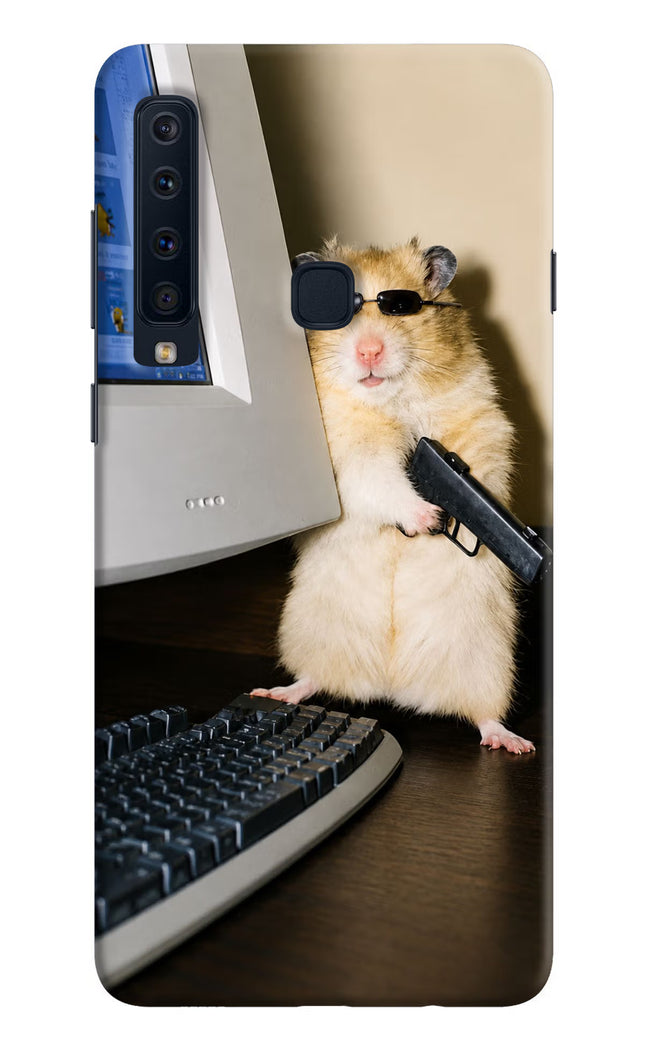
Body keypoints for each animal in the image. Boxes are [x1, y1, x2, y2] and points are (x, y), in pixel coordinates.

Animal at [252, 237, 534, 754]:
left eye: (401, 307)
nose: (369, 351)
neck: (390, 401)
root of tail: (392, 686)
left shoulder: (481, 424)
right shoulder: (348, 458)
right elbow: (380, 481)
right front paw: (428, 518)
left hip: (487, 660)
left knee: (483, 714)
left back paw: (512, 742)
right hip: (311, 632)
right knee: (313, 678)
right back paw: (276, 692)